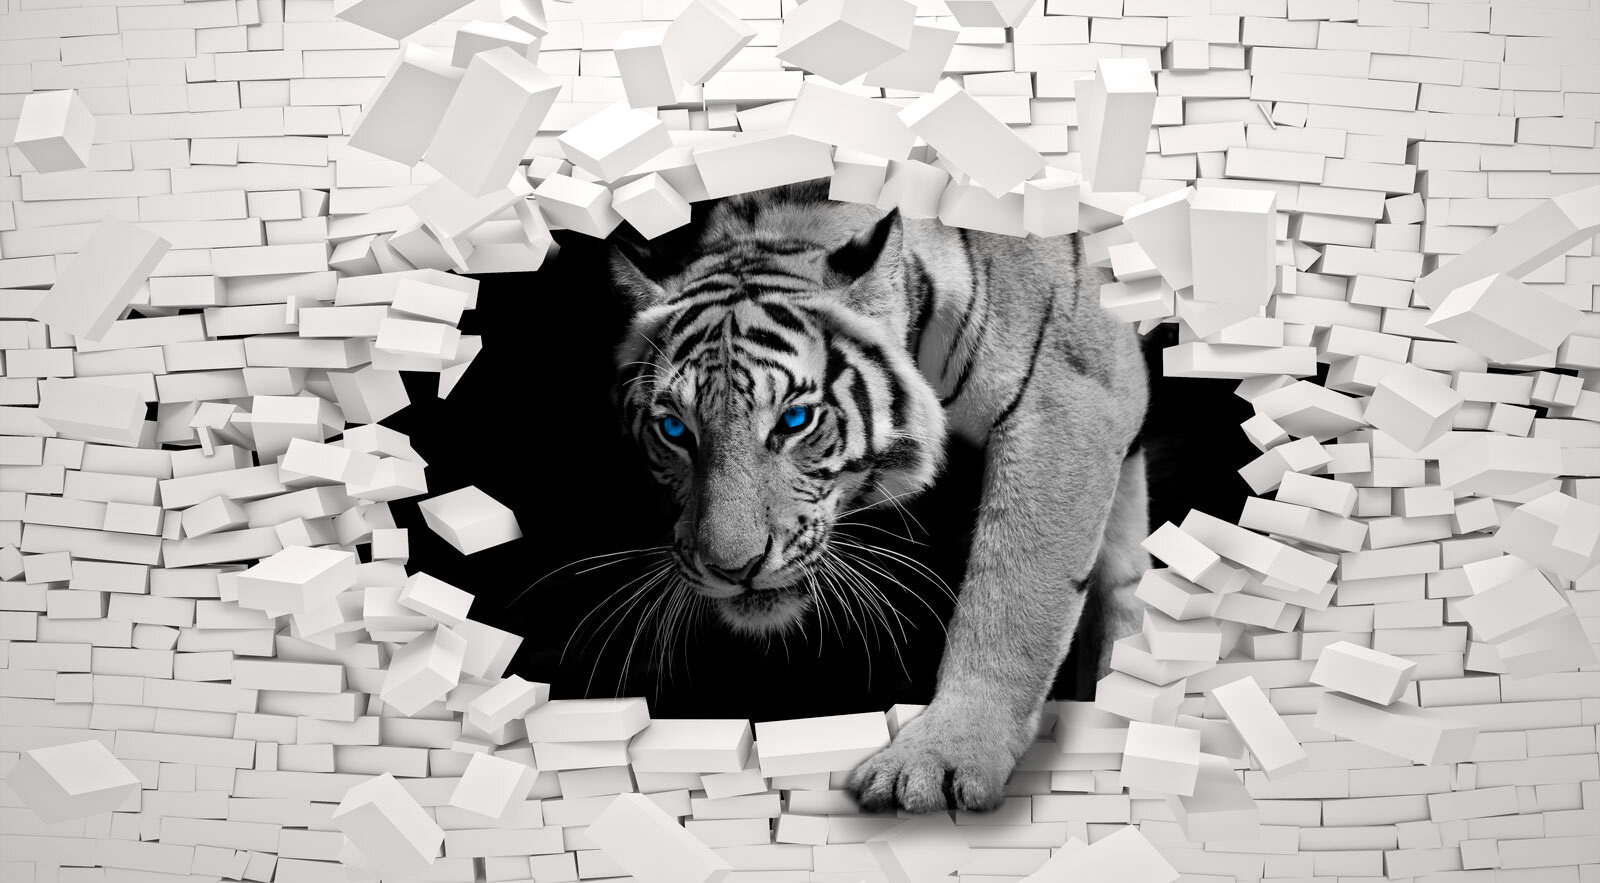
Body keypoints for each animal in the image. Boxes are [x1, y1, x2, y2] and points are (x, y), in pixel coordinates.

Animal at [610, 179, 1150, 813]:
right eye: (675, 430)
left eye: (794, 420)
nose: (733, 569)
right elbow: (1121, 570)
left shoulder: (1066, 399)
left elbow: (1014, 599)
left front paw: (941, 759)